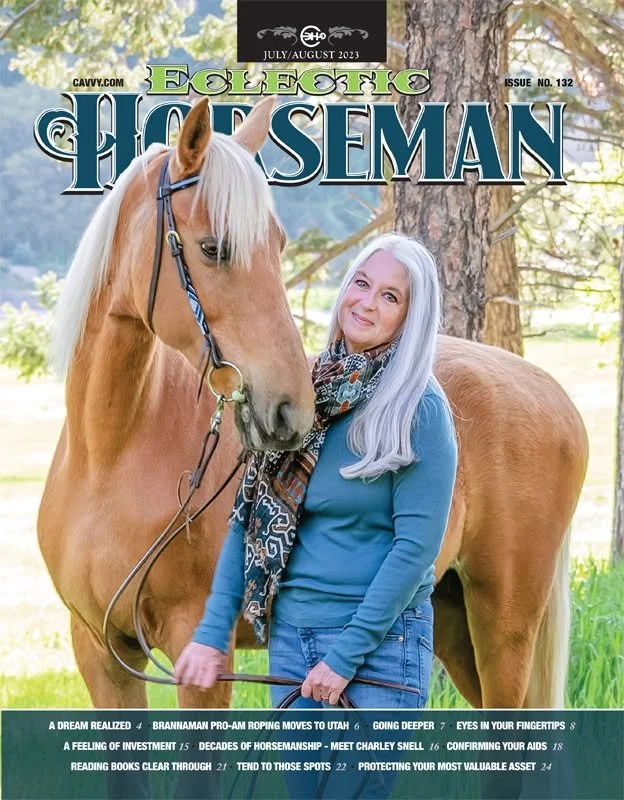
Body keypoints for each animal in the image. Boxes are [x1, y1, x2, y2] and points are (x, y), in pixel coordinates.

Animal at [38, 98, 588, 712]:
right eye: (212, 247)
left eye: (278, 246)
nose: (290, 409)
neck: (110, 455)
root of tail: (548, 389)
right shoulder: (101, 654)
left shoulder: (198, 657)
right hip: (452, 619)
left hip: (503, 625)